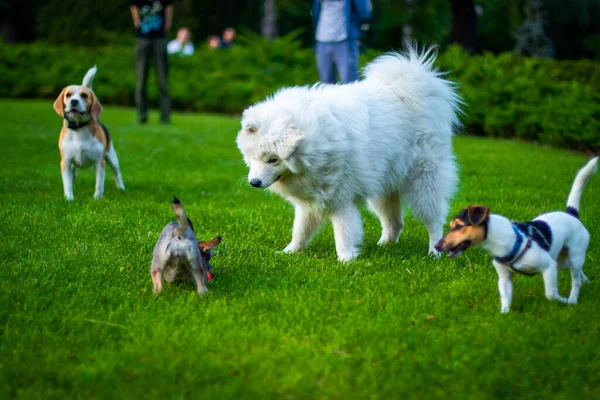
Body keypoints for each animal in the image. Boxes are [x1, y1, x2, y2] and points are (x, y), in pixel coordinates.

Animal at [237, 48, 462, 260]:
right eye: (253, 158)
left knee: (434, 220)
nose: (254, 183)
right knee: (395, 222)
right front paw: (290, 252)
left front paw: (346, 259)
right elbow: (300, 230)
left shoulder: (341, 200)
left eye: (273, 160)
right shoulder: (310, 202)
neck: (319, 143)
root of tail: (415, 87)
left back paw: (434, 252)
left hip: (423, 182)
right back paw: (385, 245)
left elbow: (343, 232)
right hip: (383, 188)